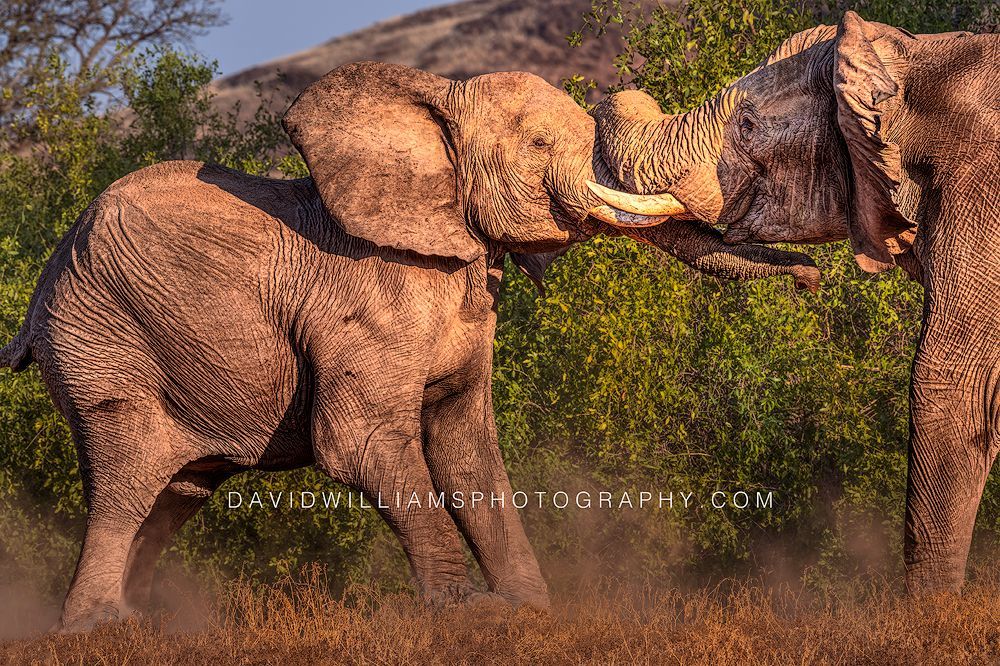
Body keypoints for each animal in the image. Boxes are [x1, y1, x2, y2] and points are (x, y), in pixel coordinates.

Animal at [0, 60, 820, 630]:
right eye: (539, 144)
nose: (814, 277)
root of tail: (39, 297)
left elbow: (465, 446)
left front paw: (531, 611)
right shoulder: (369, 302)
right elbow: (358, 440)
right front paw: (471, 616)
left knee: (179, 488)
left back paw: (144, 620)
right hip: (102, 337)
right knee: (128, 472)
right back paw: (101, 629)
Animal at [588, 12, 999, 594]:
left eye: (747, 127)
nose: (811, 280)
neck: (910, 62)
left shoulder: (978, 192)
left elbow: (951, 381)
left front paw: (931, 610)